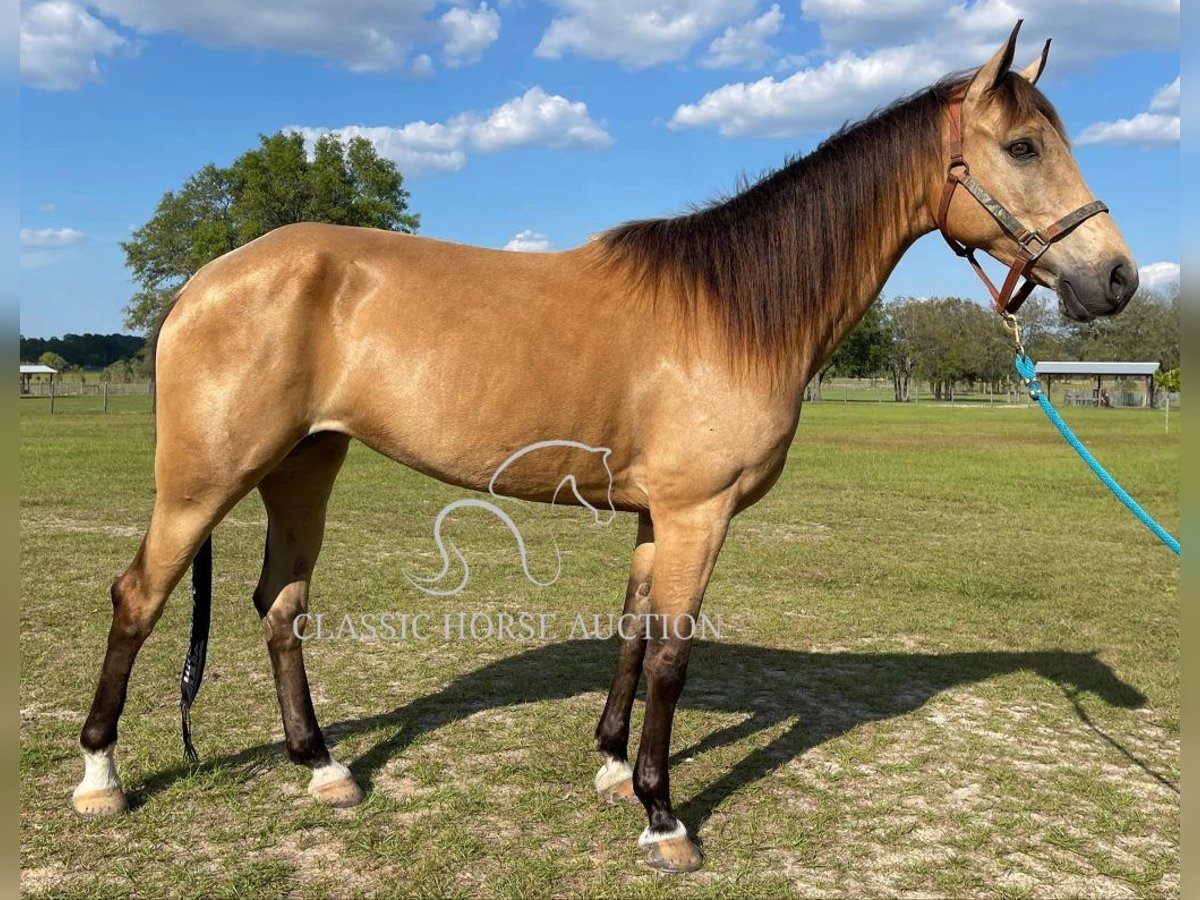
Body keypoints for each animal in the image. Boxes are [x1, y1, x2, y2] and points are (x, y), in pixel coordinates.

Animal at [72, 22, 1132, 883]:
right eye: (1024, 146)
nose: (1116, 278)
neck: (734, 309)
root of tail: (206, 277)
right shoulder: (700, 513)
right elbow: (670, 656)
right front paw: (665, 818)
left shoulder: (660, 517)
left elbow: (632, 634)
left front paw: (616, 767)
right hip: (206, 480)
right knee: (140, 597)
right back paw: (100, 775)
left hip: (305, 467)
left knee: (280, 605)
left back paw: (324, 767)